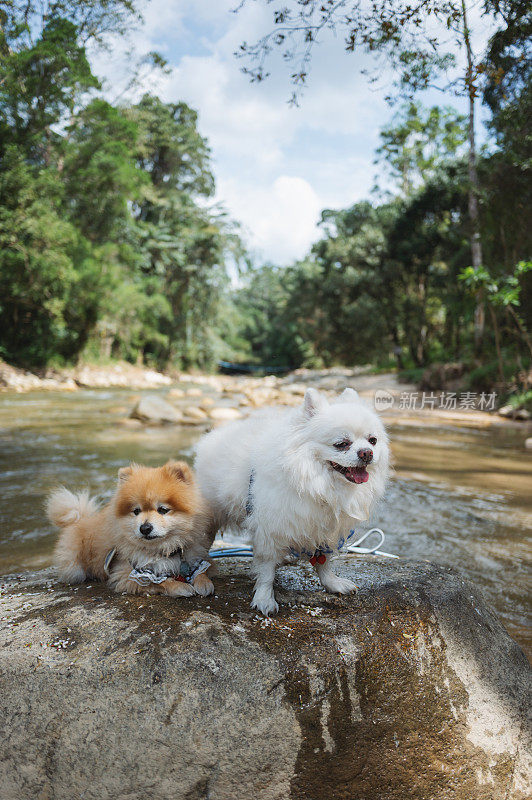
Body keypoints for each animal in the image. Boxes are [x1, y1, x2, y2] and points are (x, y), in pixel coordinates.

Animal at [195, 386, 390, 612]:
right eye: (341, 444)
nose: (367, 453)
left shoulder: (322, 527)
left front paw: (332, 583)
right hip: (210, 515)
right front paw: (264, 598)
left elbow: (324, 560)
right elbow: (266, 568)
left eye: (372, 440)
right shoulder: (271, 527)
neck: (317, 483)